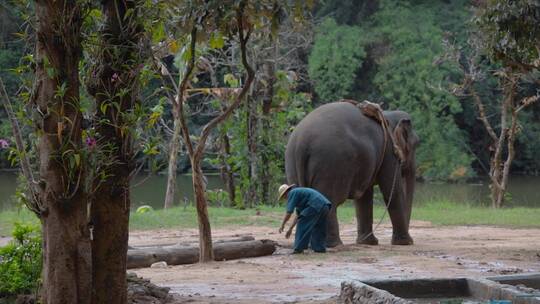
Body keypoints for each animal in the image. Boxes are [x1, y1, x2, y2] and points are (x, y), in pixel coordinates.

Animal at [284, 101, 420, 246]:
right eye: (416, 144)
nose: (410, 240)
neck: (388, 114)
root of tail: (301, 144)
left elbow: (365, 196)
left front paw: (367, 242)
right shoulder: (390, 151)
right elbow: (392, 191)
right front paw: (405, 243)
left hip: (292, 163)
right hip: (330, 165)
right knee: (329, 202)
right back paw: (333, 244)